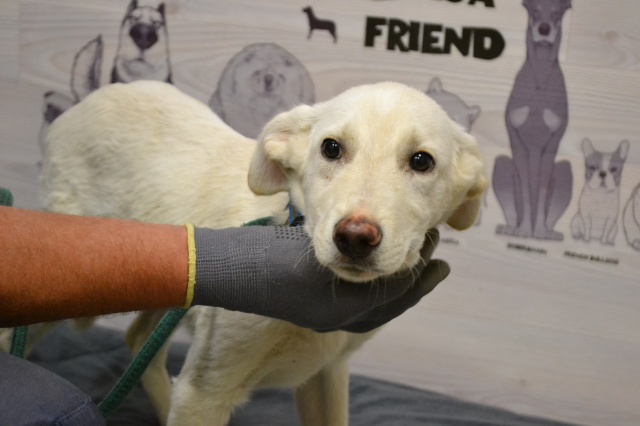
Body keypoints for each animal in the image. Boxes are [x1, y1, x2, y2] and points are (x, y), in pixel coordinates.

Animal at [41, 80, 486, 425]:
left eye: (422, 161)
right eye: (331, 148)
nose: (355, 237)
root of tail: (82, 104)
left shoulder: (327, 376)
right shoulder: (204, 392)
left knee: (139, 340)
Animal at [493, 0, 573, 240]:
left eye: (557, 12)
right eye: (534, 10)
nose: (544, 29)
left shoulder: (552, 143)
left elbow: (542, 188)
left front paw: (538, 231)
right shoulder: (517, 140)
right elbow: (528, 192)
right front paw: (525, 230)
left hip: (565, 170)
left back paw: (549, 233)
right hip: (500, 165)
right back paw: (511, 228)